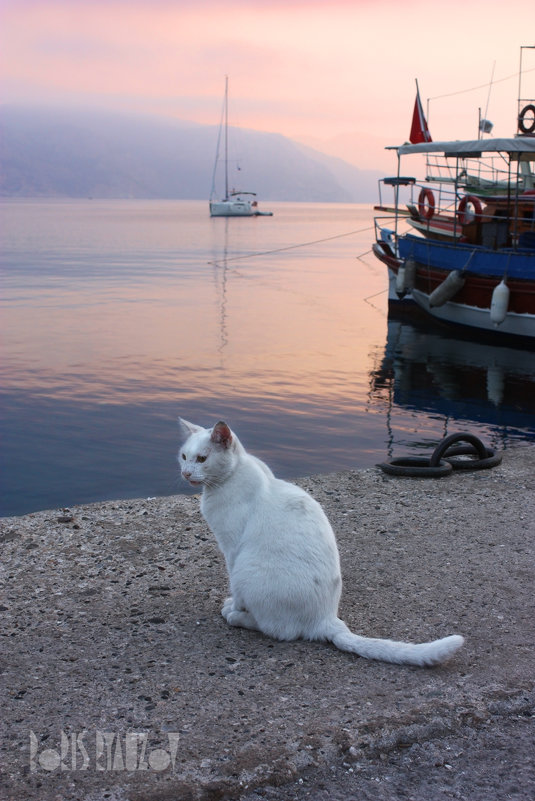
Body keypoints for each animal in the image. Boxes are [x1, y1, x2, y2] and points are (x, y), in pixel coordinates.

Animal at [180, 422, 464, 664]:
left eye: (202, 459)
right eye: (183, 456)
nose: (185, 472)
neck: (232, 476)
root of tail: (327, 619)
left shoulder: (232, 549)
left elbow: (235, 590)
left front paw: (234, 606)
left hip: (247, 569)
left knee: (279, 630)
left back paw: (237, 616)